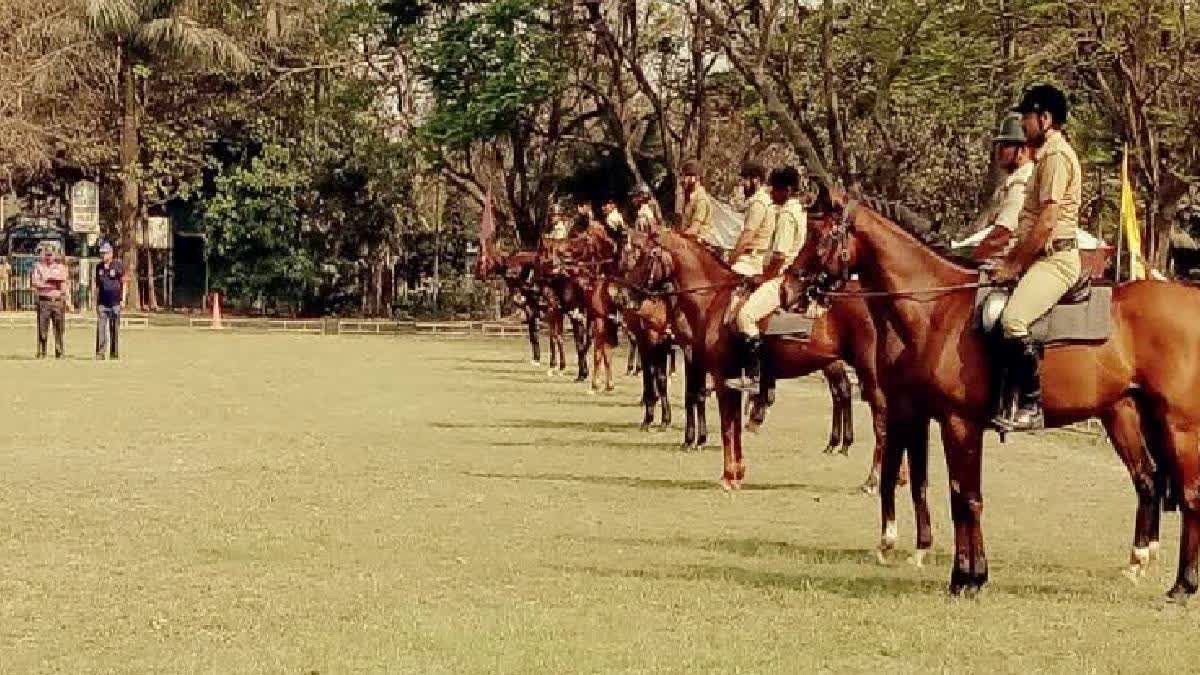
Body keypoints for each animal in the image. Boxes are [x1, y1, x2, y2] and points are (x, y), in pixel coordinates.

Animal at [792, 196, 1195, 595]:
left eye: (821, 235)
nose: (789, 288)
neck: (935, 310)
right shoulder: (934, 418)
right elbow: (958, 493)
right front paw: (970, 574)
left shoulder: (955, 423)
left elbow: (964, 498)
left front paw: (965, 578)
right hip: (1128, 416)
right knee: (1149, 479)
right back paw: (1141, 563)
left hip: (1178, 425)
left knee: (1188, 493)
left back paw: (1183, 585)